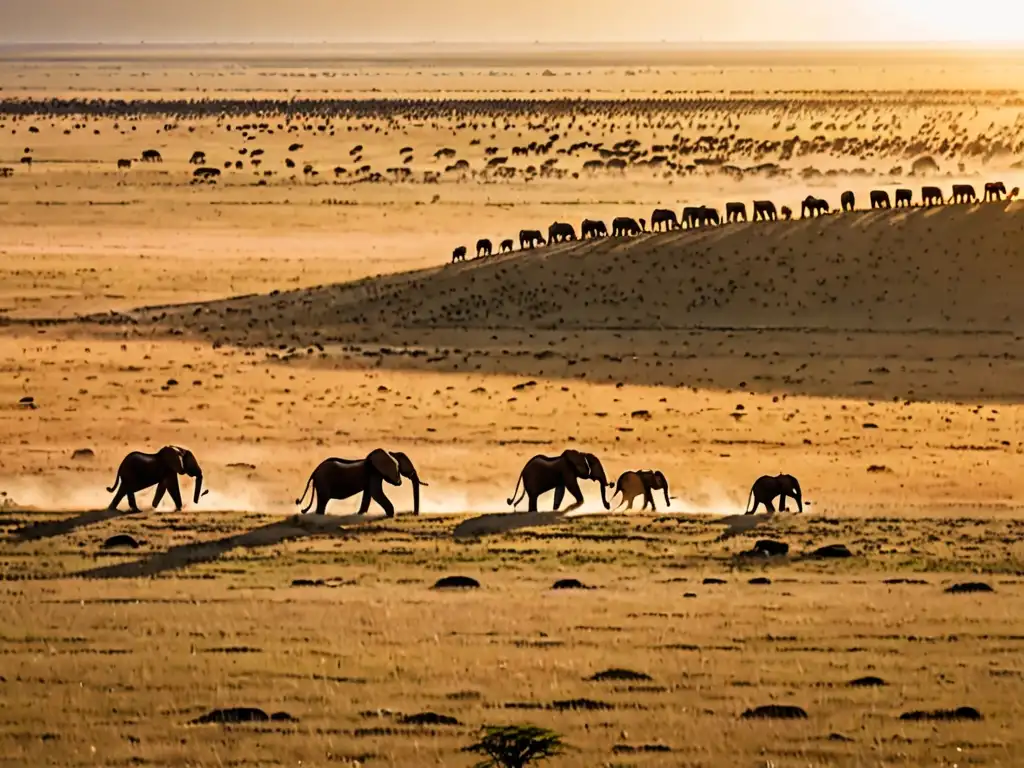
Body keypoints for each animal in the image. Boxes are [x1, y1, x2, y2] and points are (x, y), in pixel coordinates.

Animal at [296, 450, 428, 518]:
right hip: (323, 482)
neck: (390, 453)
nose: (414, 514)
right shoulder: (374, 472)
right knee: (323, 500)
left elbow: (369, 493)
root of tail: (314, 471)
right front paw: (391, 515)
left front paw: (361, 514)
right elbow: (376, 493)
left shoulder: (372, 475)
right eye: (405, 467)